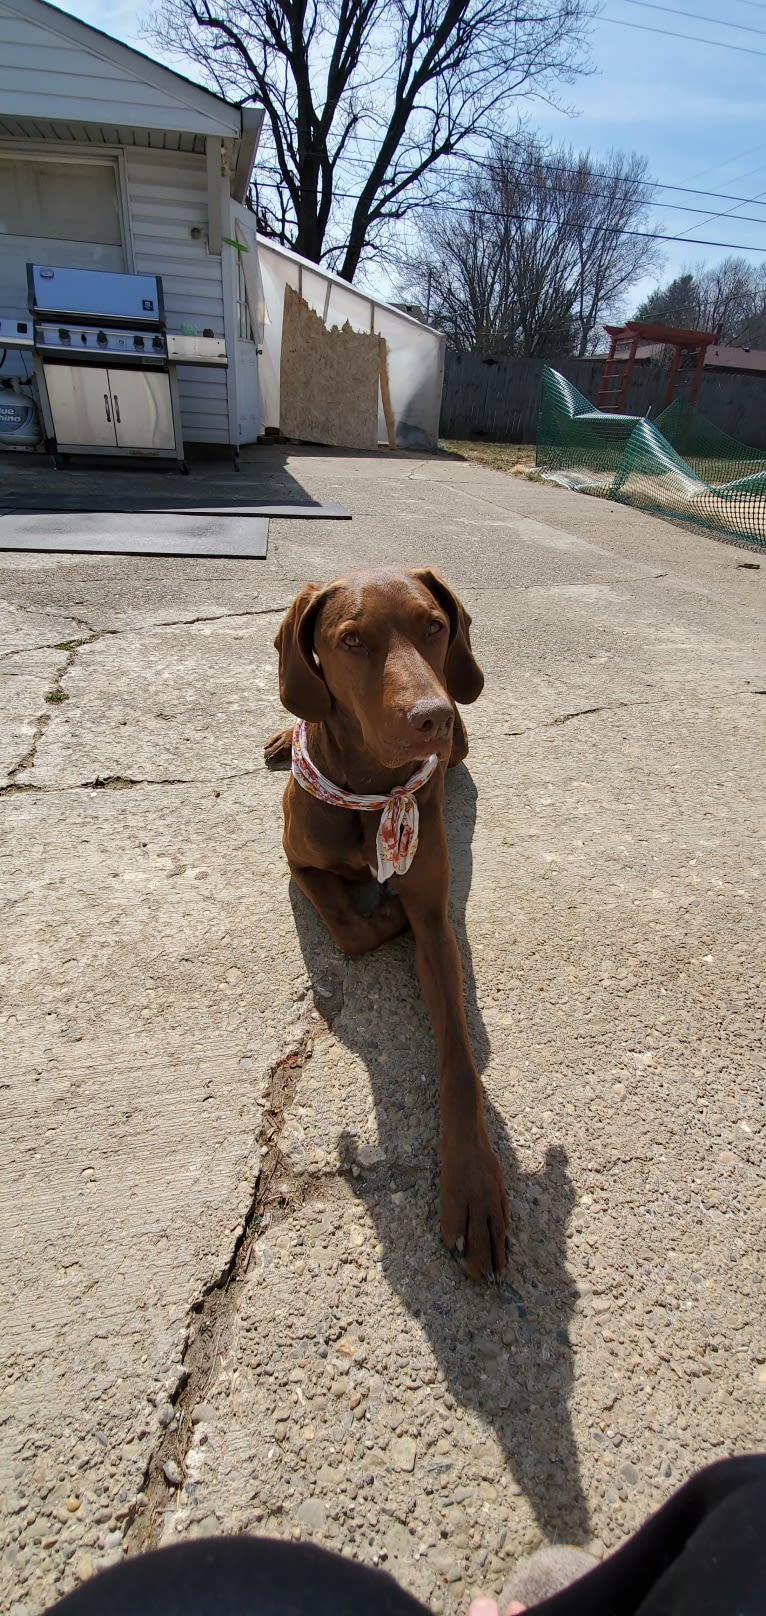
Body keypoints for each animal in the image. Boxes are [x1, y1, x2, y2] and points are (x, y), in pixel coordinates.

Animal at [263, 568, 507, 1273]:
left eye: (434, 625)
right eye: (352, 640)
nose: (434, 717)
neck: (372, 788)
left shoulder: (436, 923)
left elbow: (459, 1061)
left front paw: (473, 1182)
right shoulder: (297, 859)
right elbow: (350, 927)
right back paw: (283, 735)